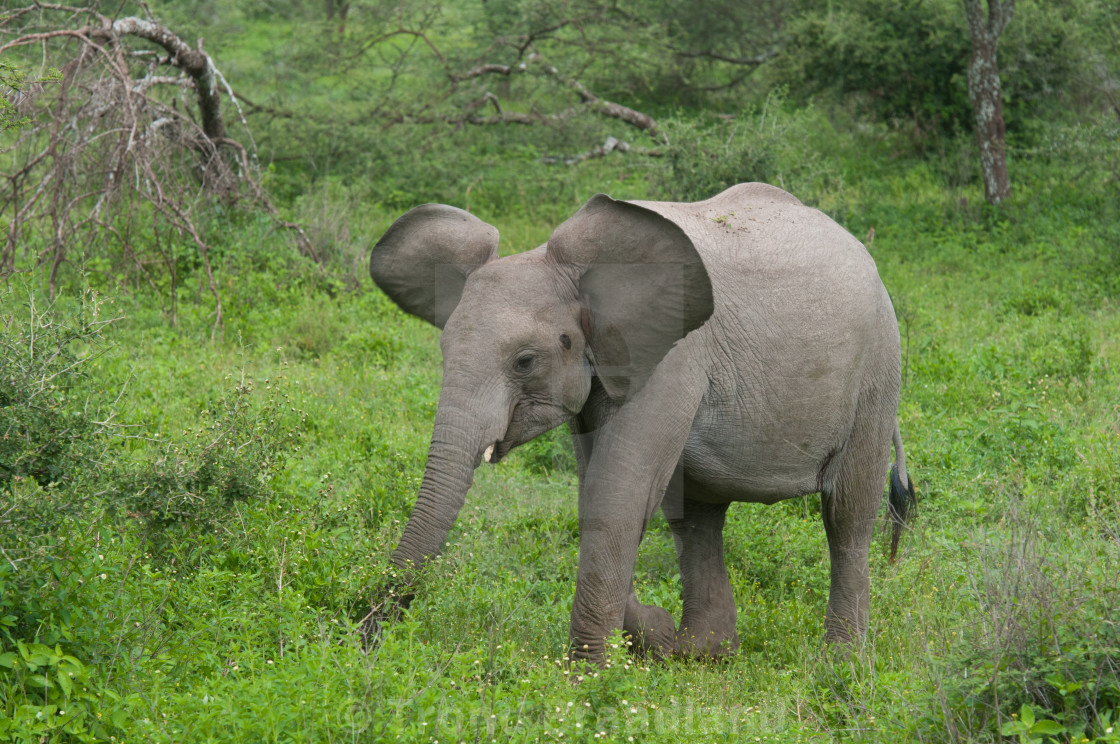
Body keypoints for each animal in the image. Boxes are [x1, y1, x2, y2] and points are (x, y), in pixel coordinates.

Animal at [362, 181, 913, 663]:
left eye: (524, 361)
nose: (367, 640)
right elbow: (600, 496)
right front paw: (654, 634)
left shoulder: (673, 355)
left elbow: (619, 494)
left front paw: (588, 679)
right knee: (697, 515)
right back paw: (703, 653)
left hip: (878, 371)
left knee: (847, 514)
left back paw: (838, 667)